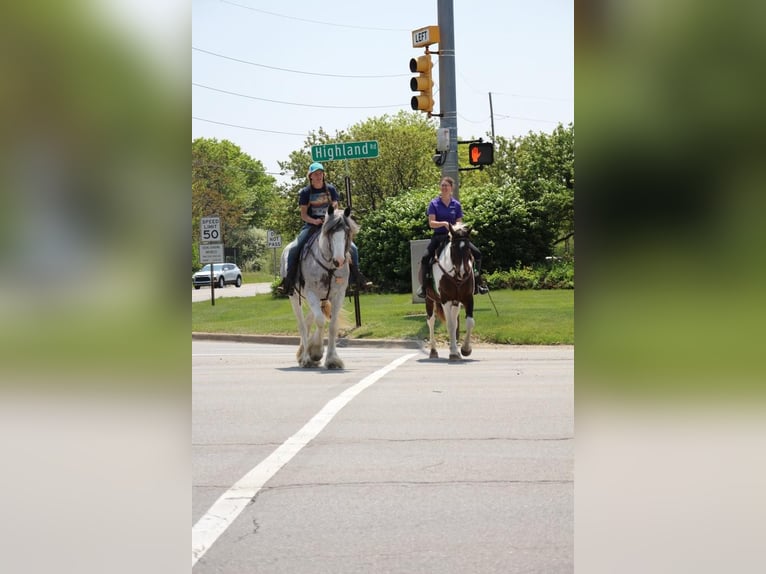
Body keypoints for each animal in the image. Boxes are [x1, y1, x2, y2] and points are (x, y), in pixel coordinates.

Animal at [280, 206, 360, 368]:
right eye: (330, 233)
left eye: (347, 233)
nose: (339, 260)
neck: (329, 266)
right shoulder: (312, 293)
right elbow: (320, 321)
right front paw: (315, 353)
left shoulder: (338, 294)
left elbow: (332, 325)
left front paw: (332, 359)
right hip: (295, 297)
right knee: (302, 324)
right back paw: (305, 357)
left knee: (309, 320)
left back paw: (304, 352)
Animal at [424, 223, 476, 362]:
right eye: (453, 247)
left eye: (468, 248)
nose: (463, 272)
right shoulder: (445, 300)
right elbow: (450, 325)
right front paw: (453, 352)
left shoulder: (467, 298)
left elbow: (468, 323)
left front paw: (465, 350)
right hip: (429, 299)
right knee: (431, 322)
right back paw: (433, 351)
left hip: (455, 303)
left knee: (454, 321)